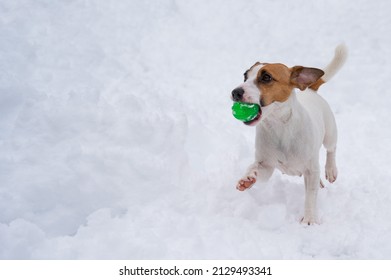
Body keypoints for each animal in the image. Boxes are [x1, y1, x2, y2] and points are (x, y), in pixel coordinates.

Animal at [231, 44, 348, 224]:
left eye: (266, 77)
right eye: (245, 76)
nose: (235, 92)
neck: (279, 127)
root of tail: (310, 90)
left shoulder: (311, 170)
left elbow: (310, 196)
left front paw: (309, 219)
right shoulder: (266, 165)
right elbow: (256, 168)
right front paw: (247, 178)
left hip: (330, 133)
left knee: (331, 149)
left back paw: (330, 170)